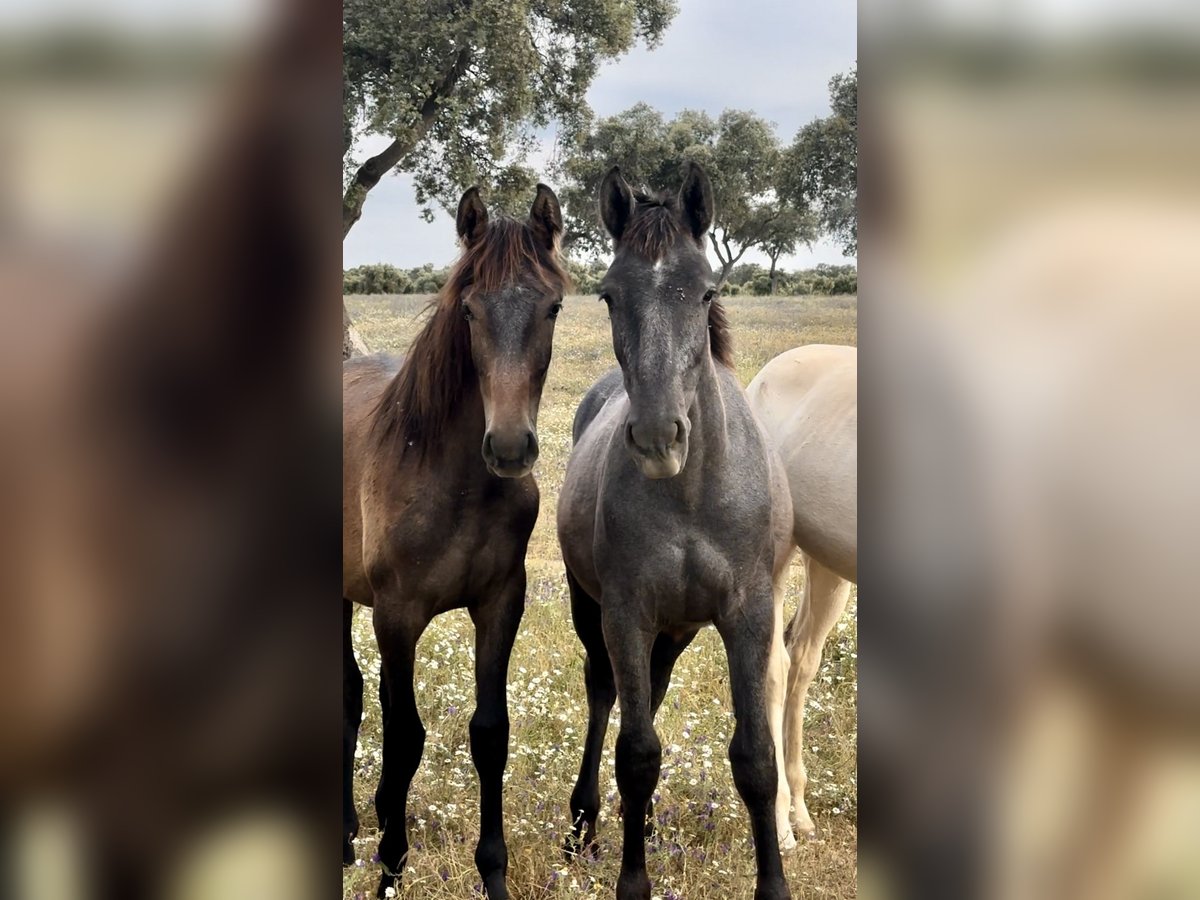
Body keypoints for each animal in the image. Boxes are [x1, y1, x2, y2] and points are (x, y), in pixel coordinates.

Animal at [343, 184, 566, 900]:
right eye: (469, 309)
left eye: (553, 306)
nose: (510, 447)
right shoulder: (397, 615)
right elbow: (405, 738)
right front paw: (390, 867)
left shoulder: (500, 603)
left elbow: (489, 733)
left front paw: (492, 872)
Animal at [554, 164, 796, 900]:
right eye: (608, 293)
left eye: (707, 289)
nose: (660, 437)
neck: (693, 492)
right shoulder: (627, 613)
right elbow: (636, 754)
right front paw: (632, 882)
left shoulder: (748, 615)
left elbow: (756, 759)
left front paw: (773, 885)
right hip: (597, 613)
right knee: (606, 696)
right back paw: (584, 825)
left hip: (677, 630)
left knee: (652, 696)